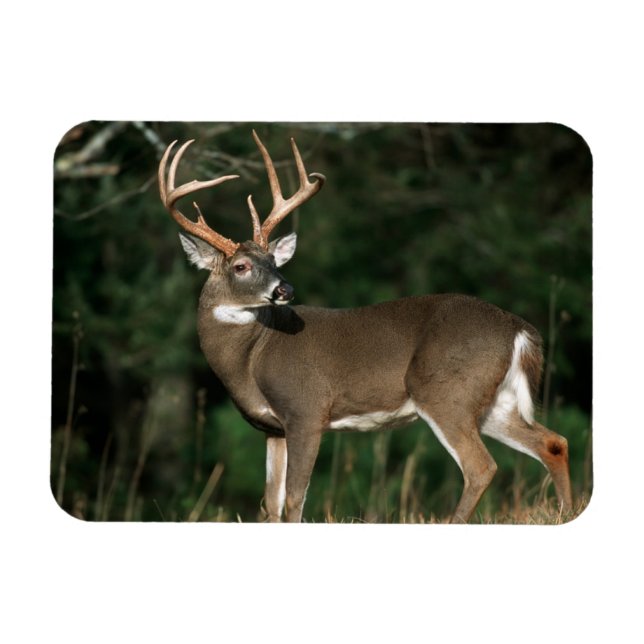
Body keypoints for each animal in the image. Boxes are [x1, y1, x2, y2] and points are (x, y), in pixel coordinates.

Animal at [158, 130, 573, 523]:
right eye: (242, 266)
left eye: (274, 261)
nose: (284, 289)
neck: (251, 357)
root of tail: (518, 328)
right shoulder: (273, 429)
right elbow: (270, 505)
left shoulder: (306, 410)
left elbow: (294, 499)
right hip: (492, 401)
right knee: (553, 442)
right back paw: (566, 512)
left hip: (445, 390)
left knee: (481, 466)